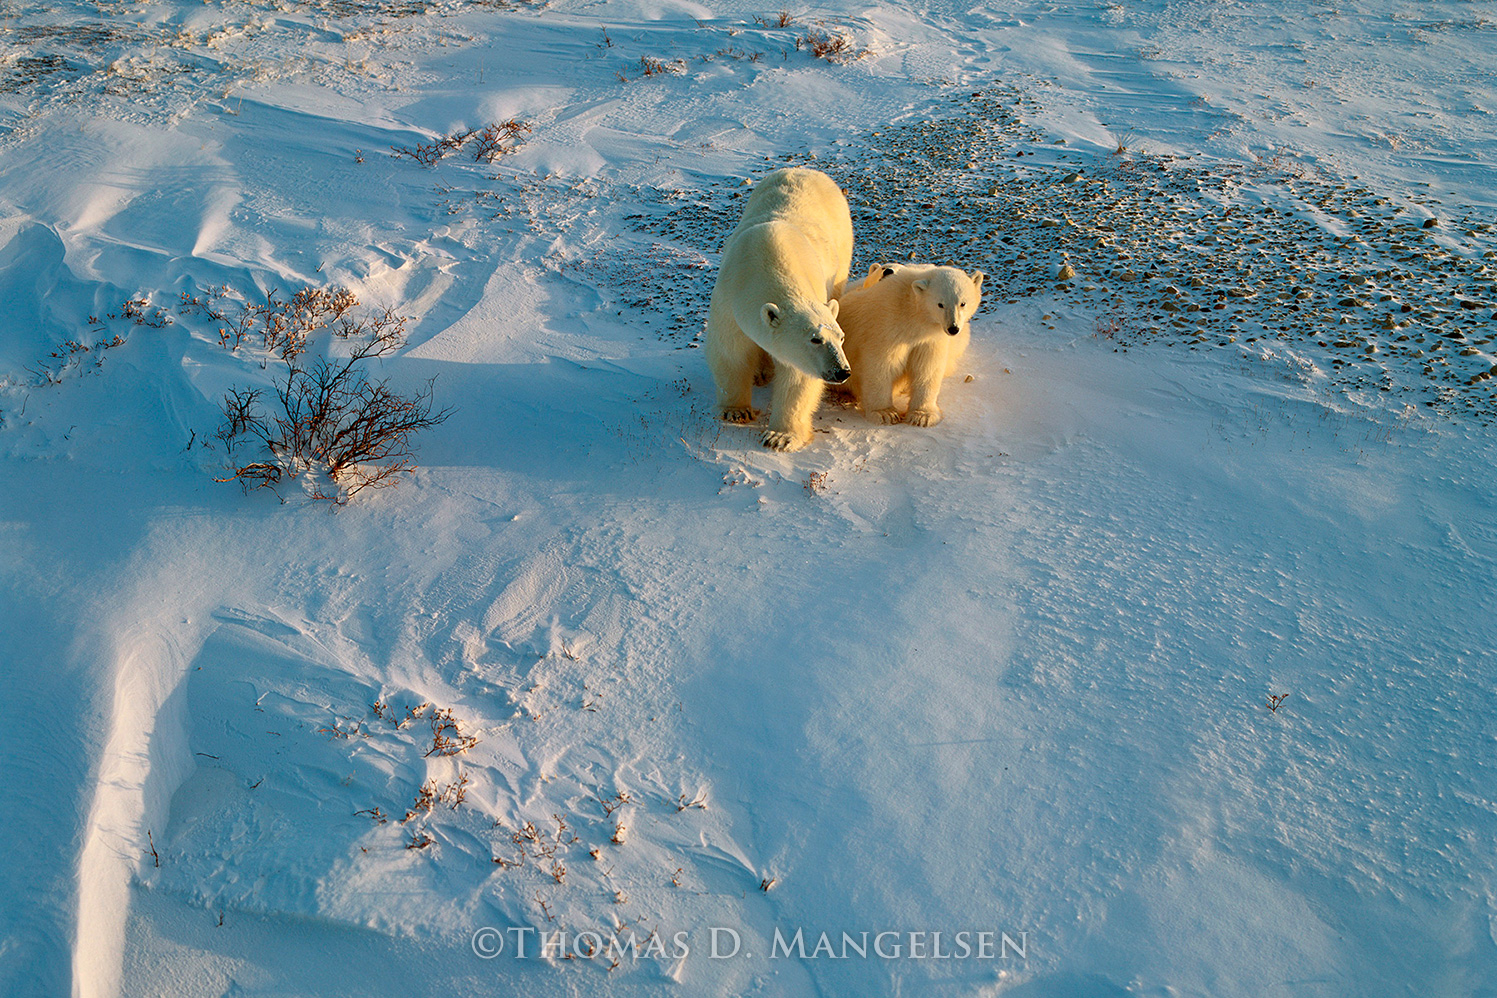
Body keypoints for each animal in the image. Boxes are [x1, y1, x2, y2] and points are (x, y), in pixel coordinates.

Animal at [704, 167, 854, 451]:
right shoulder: (728, 301)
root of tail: (805, 170)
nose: (842, 371)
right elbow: (731, 350)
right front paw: (737, 411)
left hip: (842, 249)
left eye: (841, 338)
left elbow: (797, 376)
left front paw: (780, 436)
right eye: (815, 339)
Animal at [833, 262, 985, 427]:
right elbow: (880, 365)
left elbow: (927, 369)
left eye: (962, 303)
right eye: (940, 304)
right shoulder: (886, 326)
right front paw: (885, 413)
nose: (953, 328)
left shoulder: (929, 339)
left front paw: (923, 416)